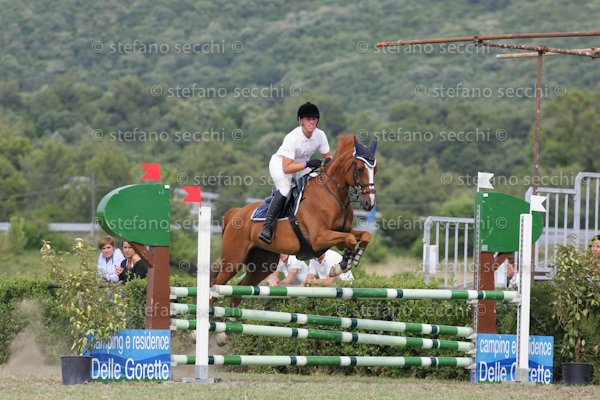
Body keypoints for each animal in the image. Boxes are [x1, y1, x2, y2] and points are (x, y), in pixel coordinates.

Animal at [210, 135, 378, 308]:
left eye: (375, 169)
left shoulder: (341, 232)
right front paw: (340, 267)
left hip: (263, 264)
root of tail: (236, 212)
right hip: (233, 261)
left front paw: (353, 259)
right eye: (360, 169)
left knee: (239, 290)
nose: (369, 203)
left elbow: (364, 236)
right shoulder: (319, 238)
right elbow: (350, 239)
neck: (333, 195)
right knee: (216, 285)